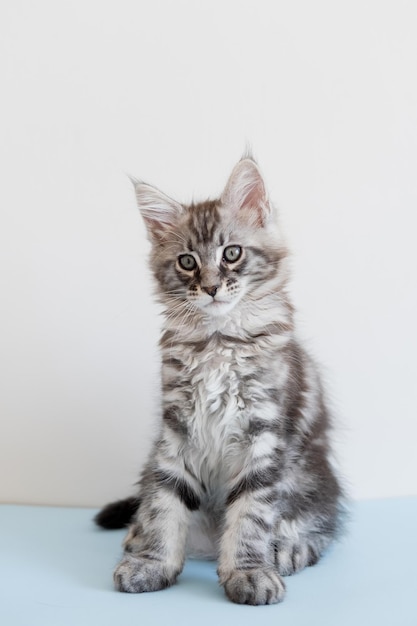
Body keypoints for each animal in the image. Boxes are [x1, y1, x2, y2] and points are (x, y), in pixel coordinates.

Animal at [96, 157, 342, 604]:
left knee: (320, 522)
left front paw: (249, 572)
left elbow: (251, 514)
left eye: (231, 253)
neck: (218, 340)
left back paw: (289, 549)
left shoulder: (263, 434)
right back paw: (135, 537)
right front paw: (151, 563)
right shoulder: (176, 433)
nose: (210, 287)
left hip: (313, 476)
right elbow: (163, 503)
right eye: (187, 261)